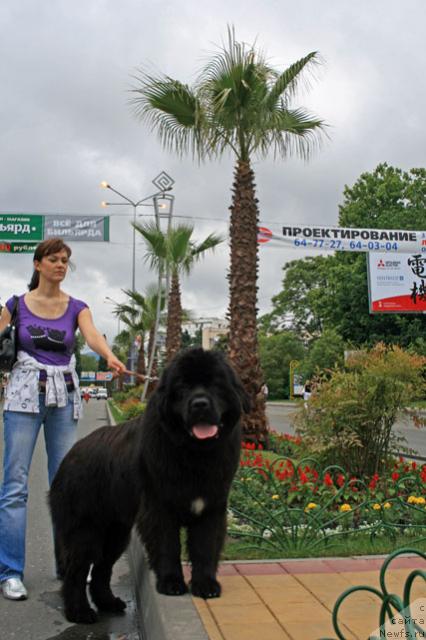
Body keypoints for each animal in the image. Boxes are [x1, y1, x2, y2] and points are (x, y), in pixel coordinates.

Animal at [49, 348, 250, 624]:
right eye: (183, 387)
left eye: (215, 384)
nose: (200, 404)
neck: (195, 456)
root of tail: (69, 456)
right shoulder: (159, 508)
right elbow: (168, 547)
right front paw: (172, 583)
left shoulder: (211, 508)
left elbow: (205, 547)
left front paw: (206, 585)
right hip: (85, 529)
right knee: (77, 570)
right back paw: (80, 612)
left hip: (116, 532)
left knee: (102, 568)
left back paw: (109, 603)